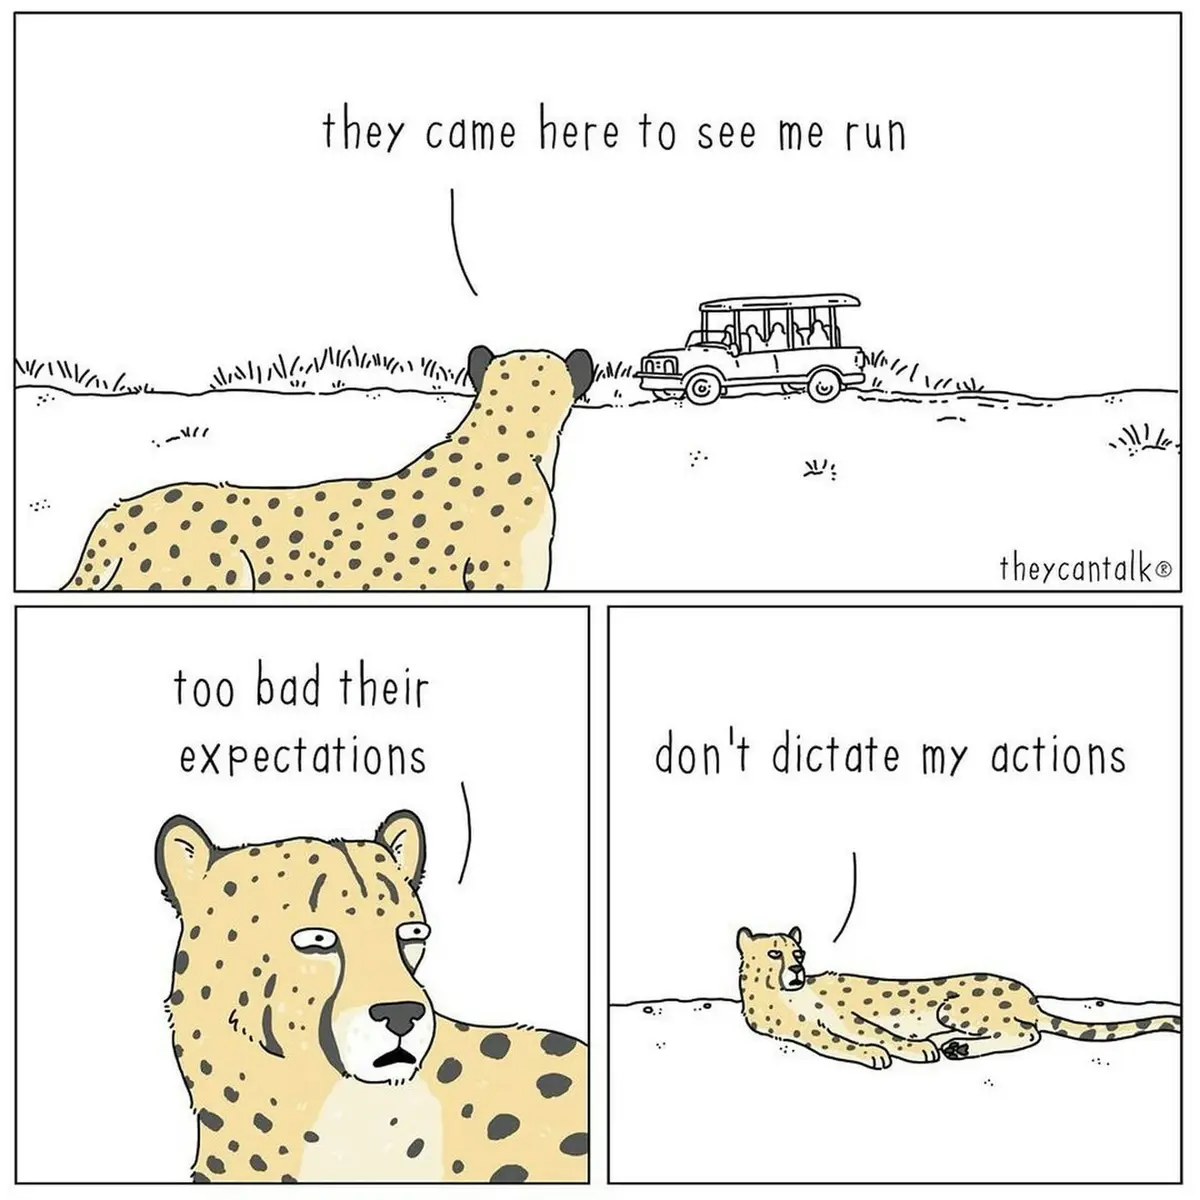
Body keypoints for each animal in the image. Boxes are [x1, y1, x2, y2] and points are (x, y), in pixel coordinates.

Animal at [737, 926, 1180, 1070]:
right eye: (775, 953)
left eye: (797, 953)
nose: (797, 970)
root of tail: (1030, 995)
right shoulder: (806, 1032)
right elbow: (839, 1041)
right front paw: (880, 1053)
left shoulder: (848, 1017)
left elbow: (878, 1033)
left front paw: (912, 1049)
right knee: (1025, 1033)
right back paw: (952, 1046)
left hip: (953, 1005)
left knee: (1027, 1034)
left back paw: (955, 1046)